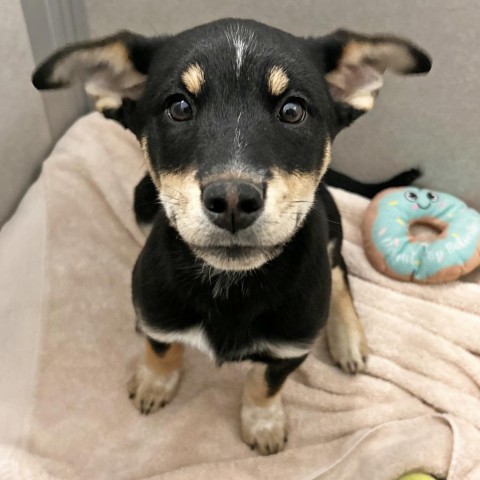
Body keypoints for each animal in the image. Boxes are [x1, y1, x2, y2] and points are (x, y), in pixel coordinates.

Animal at [33, 17, 432, 454]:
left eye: (292, 110)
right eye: (179, 107)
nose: (233, 201)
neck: (231, 287)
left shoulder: (291, 349)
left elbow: (265, 383)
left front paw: (263, 424)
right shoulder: (156, 310)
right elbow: (160, 347)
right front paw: (155, 383)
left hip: (329, 219)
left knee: (339, 268)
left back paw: (348, 339)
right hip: (142, 201)